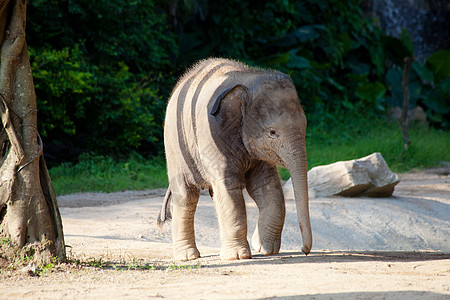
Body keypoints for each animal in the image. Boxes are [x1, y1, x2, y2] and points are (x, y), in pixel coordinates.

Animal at [156, 58, 312, 260]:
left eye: (305, 126)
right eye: (272, 132)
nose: (304, 250)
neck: (249, 78)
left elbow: (267, 185)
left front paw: (263, 248)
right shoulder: (213, 134)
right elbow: (229, 187)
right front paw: (238, 256)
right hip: (175, 145)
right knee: (186, 194)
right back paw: (188, 257)